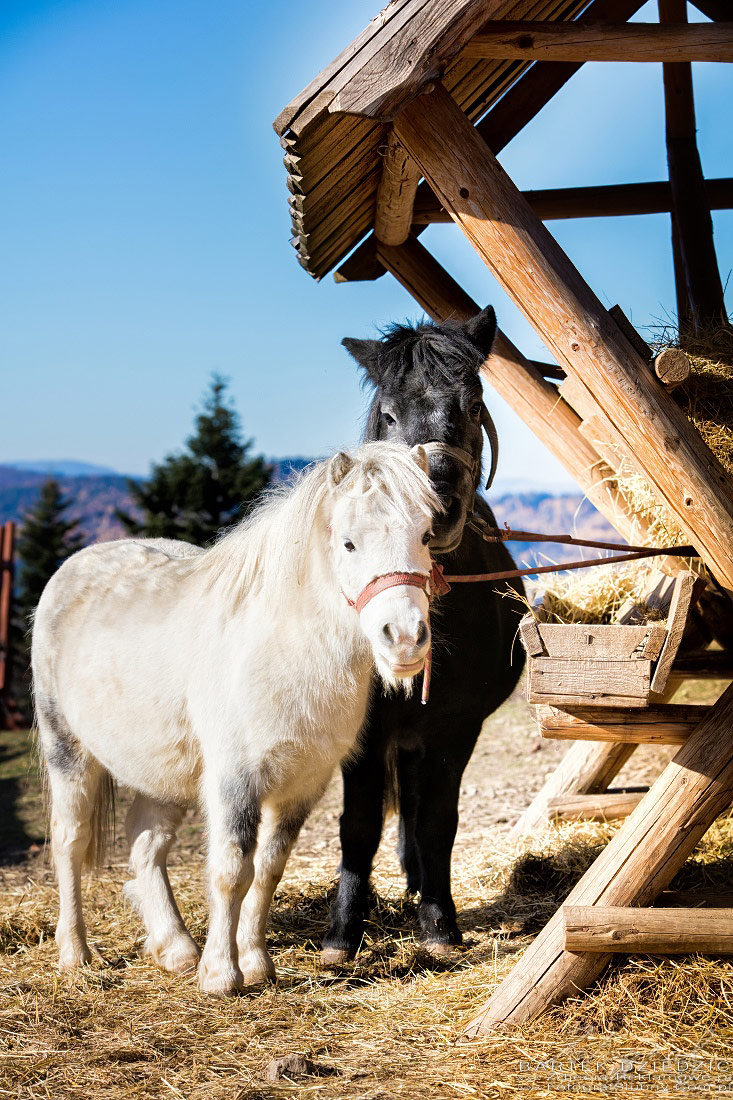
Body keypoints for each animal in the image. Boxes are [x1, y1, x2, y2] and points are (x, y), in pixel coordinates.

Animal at [31, 440, 435, 998]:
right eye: (349, 543)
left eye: (426, 535)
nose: (405, 639)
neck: (280, 647)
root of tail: (69, 571)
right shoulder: (234, 777)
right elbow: (230, 869)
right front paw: (222, 975)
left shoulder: (302, 784)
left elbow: (267, 869)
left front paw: (257, 963)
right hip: (68, 751)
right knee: (70, 842)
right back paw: (76, 955)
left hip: (164, 772)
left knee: (145, 841)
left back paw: (176, 949)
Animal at [321, 305, 526, 959]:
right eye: (388, 413)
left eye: (473, 403)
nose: (434, 505)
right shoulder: (363, 732)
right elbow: (358, 825)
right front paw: (343, 932)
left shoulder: (455, 728)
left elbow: (437, 821)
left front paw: (438, 923)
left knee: (414, 807)